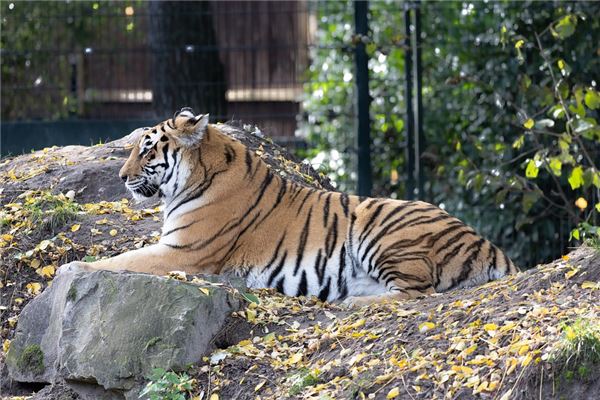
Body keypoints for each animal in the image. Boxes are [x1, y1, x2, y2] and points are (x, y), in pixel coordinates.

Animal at [63, 106, 516, 306]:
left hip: (381, 227)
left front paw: (74, 268)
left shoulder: (183, 252)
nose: (120, 177)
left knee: (417, 293)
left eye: (146, 149)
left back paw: (354, 303)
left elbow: (121, 260)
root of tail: (486, 243)